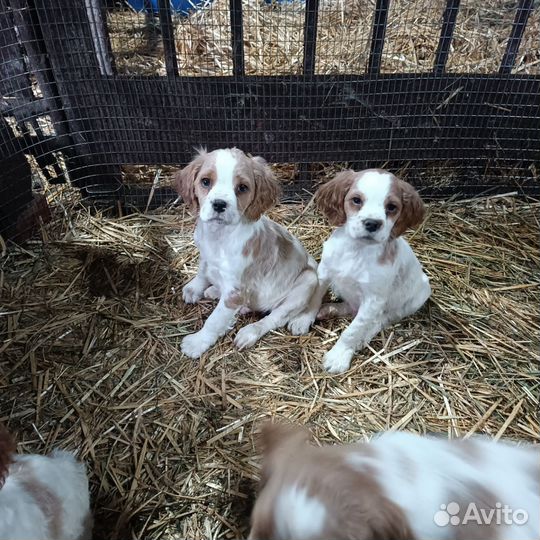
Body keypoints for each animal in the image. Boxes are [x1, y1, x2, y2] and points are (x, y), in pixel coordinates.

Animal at [175, 148, 318, 358]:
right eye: (205, 181)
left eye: (242, 188)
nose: (219, 204)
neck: (219, 236)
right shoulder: (205, 256)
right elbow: (202, 271)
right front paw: (194, 288)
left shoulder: (234, 292)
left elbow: (214, 320)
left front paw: (196, 343)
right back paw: (214, 290)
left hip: (307, 282)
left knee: (275, 317)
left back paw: (249, 332)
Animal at [294, 171, 432, 374]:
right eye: (356, 200)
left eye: (392, 207)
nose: (372, 223)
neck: (357, 249)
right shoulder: (324, 271)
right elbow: (314, 297)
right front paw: (303, 319)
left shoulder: (373, 300)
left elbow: (352, 330)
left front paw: (338, 356)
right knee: (351, 307)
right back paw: (329, 309)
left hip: (413, 300)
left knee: (379, 320)